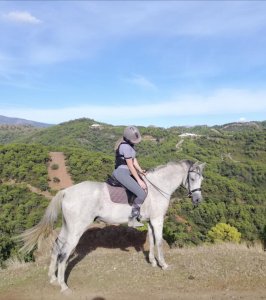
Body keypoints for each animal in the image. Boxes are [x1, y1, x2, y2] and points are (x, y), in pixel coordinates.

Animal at [19, 161, 205, 292]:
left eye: (201, 178)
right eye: (192, 178)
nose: (197, 200)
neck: (157, 187)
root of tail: (66, 191)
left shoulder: (151, 221)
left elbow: (152, 241)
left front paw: (152, 262)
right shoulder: (158, 220)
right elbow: (158, 241)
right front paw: (163, 265)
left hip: (67, 227)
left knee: (57, 246)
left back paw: (52, 278)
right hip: (76, 230)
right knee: (64, 253)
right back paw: (63, 285)